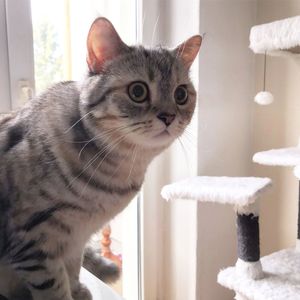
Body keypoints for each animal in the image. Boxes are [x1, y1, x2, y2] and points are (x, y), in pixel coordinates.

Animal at [0, 17, 202, 300]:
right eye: (138, 91)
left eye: (181, 94)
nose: (168, 116)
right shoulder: (33, 242)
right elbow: (55, 287)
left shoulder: (75, 239)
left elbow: (72, 270)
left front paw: (78, 290)